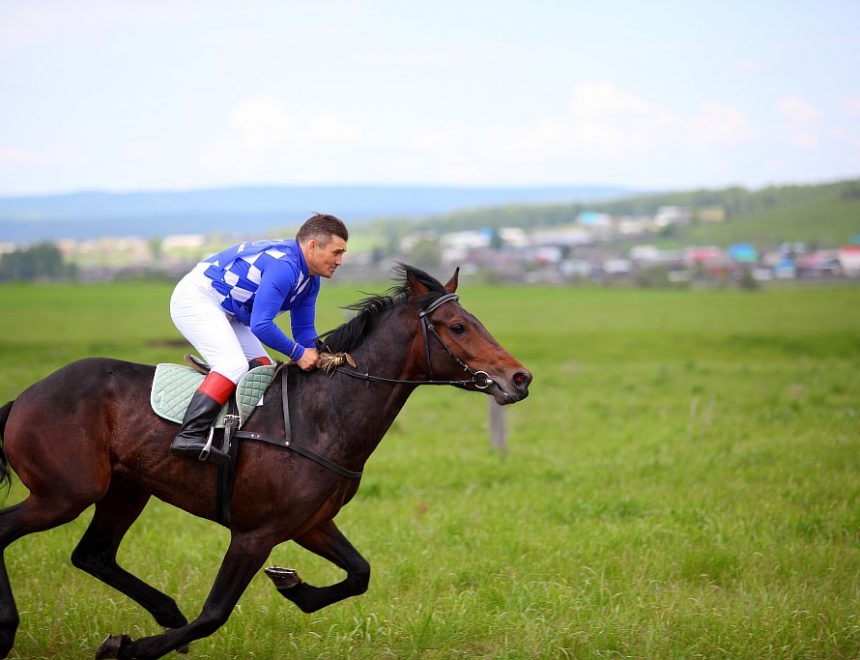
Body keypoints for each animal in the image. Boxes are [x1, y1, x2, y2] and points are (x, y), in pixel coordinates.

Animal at [0, 264, 532, 660]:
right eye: (458, 327)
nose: (520, 378)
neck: (324, 414)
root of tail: (26, 396)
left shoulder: (309, 523)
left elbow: (359, 574)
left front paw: (293, 585)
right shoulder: (254, 533)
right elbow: (214, 614)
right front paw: (129, 648)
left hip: (125, 489)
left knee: (92, 554)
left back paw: (166, 612)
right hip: (66, 492)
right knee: (12, 531)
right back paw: (9, 626)